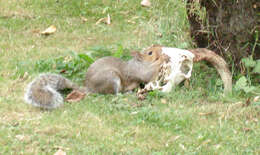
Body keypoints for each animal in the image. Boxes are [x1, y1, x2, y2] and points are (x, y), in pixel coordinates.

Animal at [24, 50, 167, 109]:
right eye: (150, 53)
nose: (160, 51)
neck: (140, 63)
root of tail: (90, 88)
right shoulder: (137, 70)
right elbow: (147, 75)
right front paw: (162, 59)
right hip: (112, 79)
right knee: (112, 94)